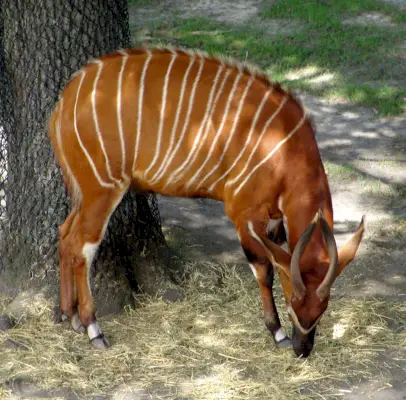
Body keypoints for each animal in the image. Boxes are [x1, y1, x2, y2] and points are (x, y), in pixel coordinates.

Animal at [48, 46, 364, 356]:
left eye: (322, 309)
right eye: (296, 303)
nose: (303, 349)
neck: (286, 150)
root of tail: (63, 103)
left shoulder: (275, 220)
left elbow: (280, 265)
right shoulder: (244, 214)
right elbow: (263, 269)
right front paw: (277, 333)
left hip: (86, 192)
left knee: (65, 233)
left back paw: (70, 316)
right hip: (102, 188)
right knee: (83, 246)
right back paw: (93, 329)